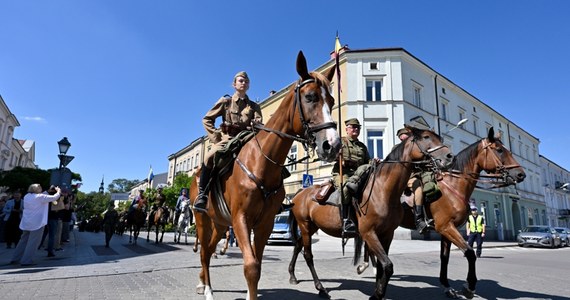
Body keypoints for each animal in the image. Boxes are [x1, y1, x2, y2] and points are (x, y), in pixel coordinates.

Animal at [191, 51, 340, 300]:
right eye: (310, 97)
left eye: (331, 101)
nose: (333, 145)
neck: (261, 162)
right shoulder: (240, 219)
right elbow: (251, 266)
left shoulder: (265, 223)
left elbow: (258, 265)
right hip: (203, 220)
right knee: (203, 250)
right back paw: (208, 290)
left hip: (220, 223)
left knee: (209, 249)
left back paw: (203, 282)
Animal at [288, 125, 452, 298]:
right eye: (426, 137)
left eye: (439, 138)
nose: (449, 156)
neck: (383, 190)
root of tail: (300, 193)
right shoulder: (368, 233)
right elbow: (387, 265)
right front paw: (377, 294)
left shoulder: (387, 234)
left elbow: (381, 266)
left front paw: (378, 292)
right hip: (305, 226)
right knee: (307, 255)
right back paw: (320, 288)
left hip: (312, 227)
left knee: (298, 246)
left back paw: (293, 276)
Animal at [390, 126, 524, 298]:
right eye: (499, 150)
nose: (521, 174)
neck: (453, 187)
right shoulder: (446, 227)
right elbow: (470, 253)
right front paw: (469, 287)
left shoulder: (445, 231)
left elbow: (445, 258)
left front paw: (447, 286)